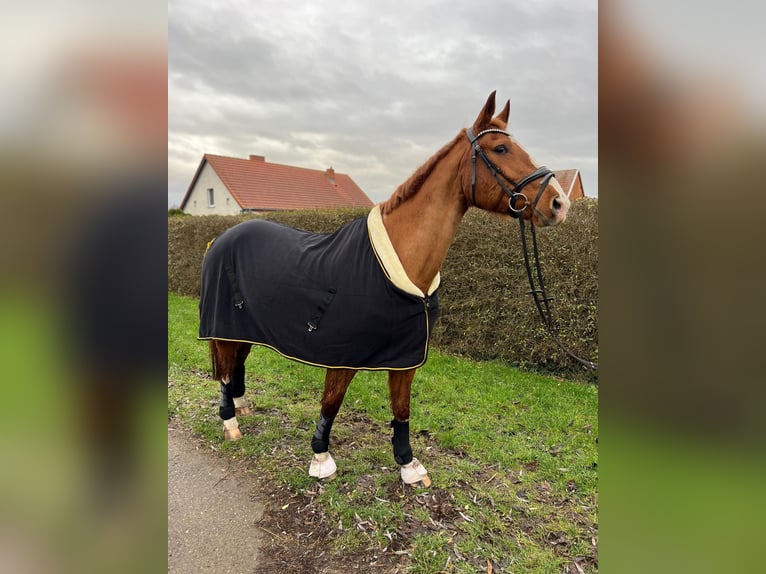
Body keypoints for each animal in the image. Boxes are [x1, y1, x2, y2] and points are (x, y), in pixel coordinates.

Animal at [204, 92, 568, 488]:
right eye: (501, 148)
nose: (559, 203)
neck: (399, 263)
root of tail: (220, 239)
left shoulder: (406, 355)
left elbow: (402, 407)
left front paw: (408, 466)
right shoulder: (342, 354)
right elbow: (331, 402)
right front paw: (321, 458)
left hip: (243, 329)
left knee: (236, 364)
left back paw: (241, 406)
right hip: (223, 329)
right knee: (226, 371)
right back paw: (230, 423)